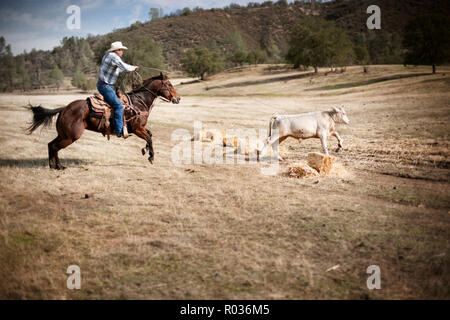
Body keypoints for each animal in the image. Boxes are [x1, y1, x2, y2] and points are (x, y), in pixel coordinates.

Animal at [26, 72, 179, 168]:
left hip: (63, 135)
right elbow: (150, 138)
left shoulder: (140, 128)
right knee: (54, 147)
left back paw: (54, 166)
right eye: (170, 85)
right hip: (70, 136)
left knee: (51, 145)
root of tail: (64, 109)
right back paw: (58, 166)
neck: (138, 102)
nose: (178, 99)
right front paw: (151, 157)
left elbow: (150, 136)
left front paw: (145, 150)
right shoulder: (137, 129)